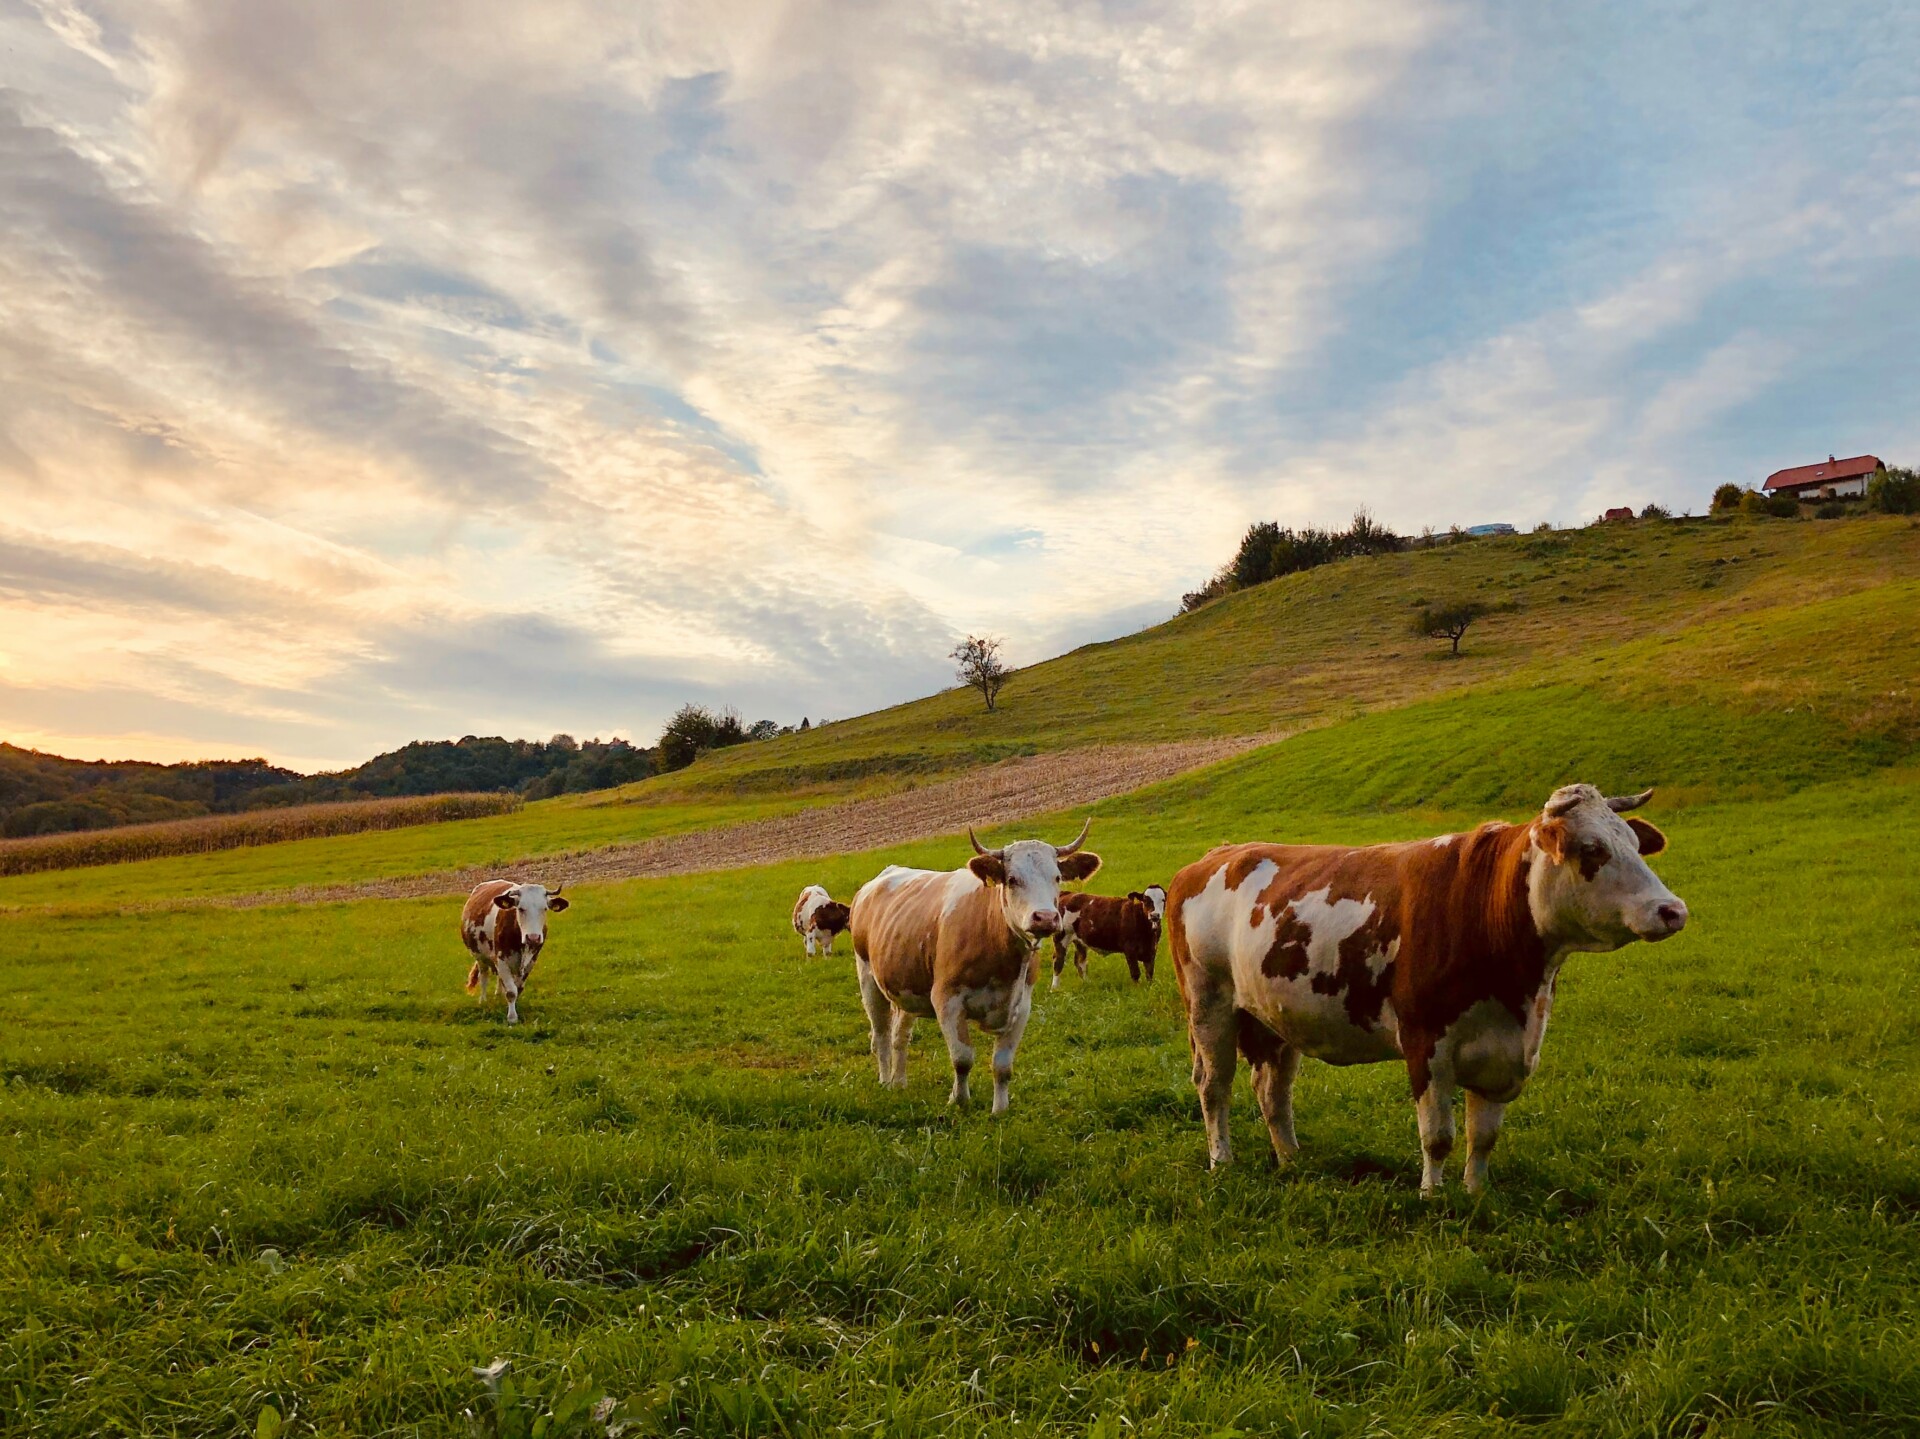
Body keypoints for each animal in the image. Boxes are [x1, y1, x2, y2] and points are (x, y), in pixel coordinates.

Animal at [462, 876, 568, 1022]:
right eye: (521, 909)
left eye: (545, 909)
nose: (533, 937)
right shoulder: (500, 959)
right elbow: (511, 991)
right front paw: (512, 1017)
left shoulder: (531, 961)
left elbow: (518, 988)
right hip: (480, 957)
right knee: (484, 977)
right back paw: (483, 1001)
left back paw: (498, 997)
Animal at [852, 818, 1105, 1114]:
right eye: (1012, 879)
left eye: (1057, 877)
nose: (1045, 917)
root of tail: (880, 878)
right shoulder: (946, 1000)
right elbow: (962, 1058)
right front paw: (959, 1100)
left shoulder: (1021, 1006)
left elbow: (1003, 1066)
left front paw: (1000, 1110)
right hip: (868, 978)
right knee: (880, 1034)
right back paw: (884, 1080)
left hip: (906, 986)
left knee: (899, 1036)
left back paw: (899, 1082)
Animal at [1159, 787, 1689, 1191]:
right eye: (1592, 849)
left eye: (1634, 844)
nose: (1672, 910)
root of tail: (1216, 855)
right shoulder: (1425, 1042)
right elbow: (1438, 1136)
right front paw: (1432, 1197)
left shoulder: (1507, 1051)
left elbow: (1483, 1136)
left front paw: (1475, 1194)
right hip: (1208, 1003)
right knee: (1214, 1085)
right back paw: (1222, 1162)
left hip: (1274, 1015)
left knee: (1272, 1090)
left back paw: (1292, 1160)